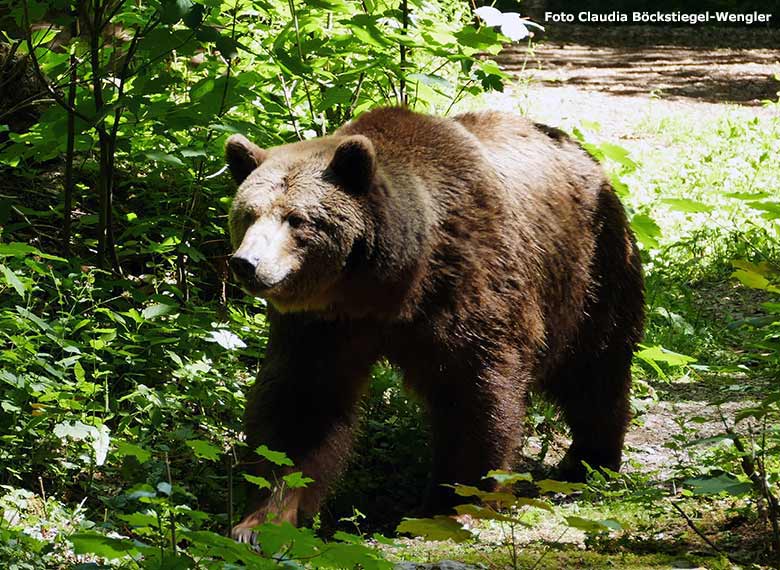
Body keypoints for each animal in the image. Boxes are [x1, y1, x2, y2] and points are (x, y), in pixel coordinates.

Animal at [225, 105, 644, 536]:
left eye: (296, 219)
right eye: (247, 214)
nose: (247, 263)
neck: (386, 287)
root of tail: (585, 156)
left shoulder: (466, 290)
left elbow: (473, 395)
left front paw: (455, 503)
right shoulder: (322, 323)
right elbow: (301, 405)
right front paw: (262, 519)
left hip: (590, 271)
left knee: (594, 368)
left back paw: (590, 461)